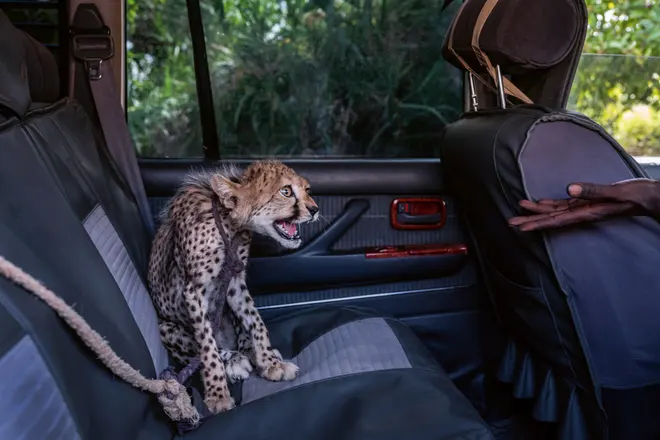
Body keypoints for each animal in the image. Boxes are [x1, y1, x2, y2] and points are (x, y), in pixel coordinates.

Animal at [147, 159, 319, 414]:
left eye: (306, 190)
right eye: (286, 191)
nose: (314, 209)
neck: (228, 223)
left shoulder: (235, 283)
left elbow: (256, 321)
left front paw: (270, 362)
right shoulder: (194, 291)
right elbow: (207, 345)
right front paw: (218, 394)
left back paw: (252, 353)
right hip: (167, 328)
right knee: (203, 350)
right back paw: (235, 360)